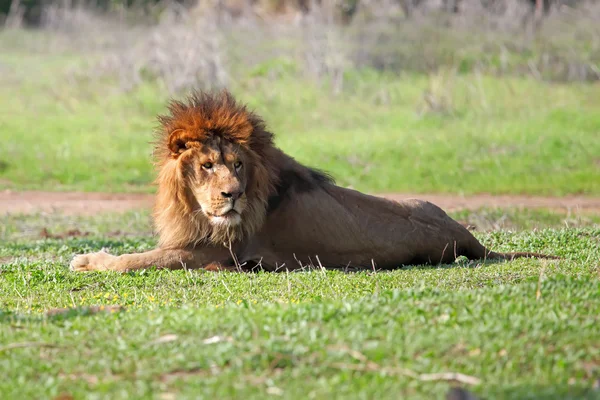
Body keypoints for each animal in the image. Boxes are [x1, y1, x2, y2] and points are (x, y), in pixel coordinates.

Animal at [70, 90, 556, 272]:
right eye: (207, 165)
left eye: (238, 165)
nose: (233, 195)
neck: (193, 205)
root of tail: (469, 239)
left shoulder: (213, 251)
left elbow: (135, 260)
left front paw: (89, 259)